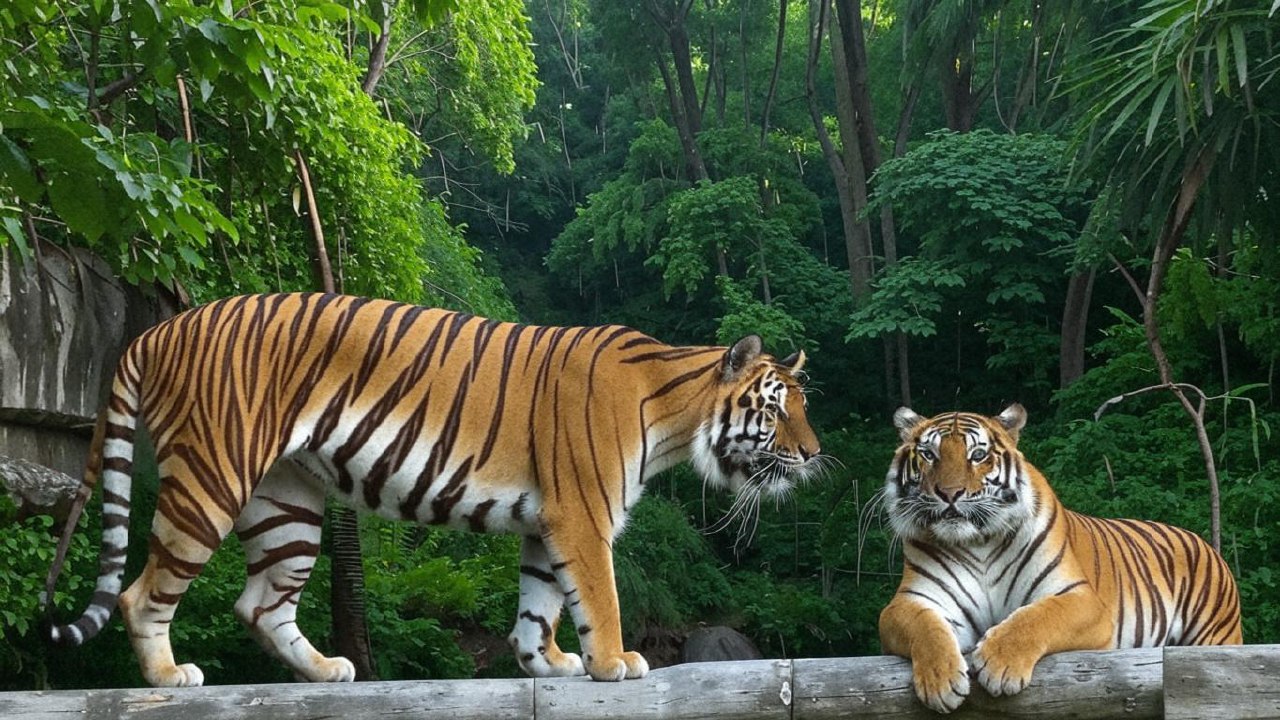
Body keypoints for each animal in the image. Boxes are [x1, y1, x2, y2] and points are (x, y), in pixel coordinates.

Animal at [44, 292, 822, 687]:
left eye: (802, 405)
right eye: (778, 408)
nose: (816, 455)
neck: (674, 418)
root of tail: (158, 330)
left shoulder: (545, 520)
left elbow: (539, 604)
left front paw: (549, 662)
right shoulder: (582, 512)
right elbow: (599, 595)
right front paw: (612, 662)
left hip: (287, 503)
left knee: (259, 603)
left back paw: (327, 670)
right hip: (212, 476)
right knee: (142, 593)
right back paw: (168, 676)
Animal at [879, 404, 1241, 714]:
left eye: (977, 455)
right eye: (929, 455)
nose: (949, 493)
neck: (977, 541)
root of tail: (1204, 542)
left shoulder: (1082, 599)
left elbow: (1038, 617)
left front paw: (1000, 664)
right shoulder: (909, 602)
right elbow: (926, 627)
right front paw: (941, 681)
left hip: (1216, 637)